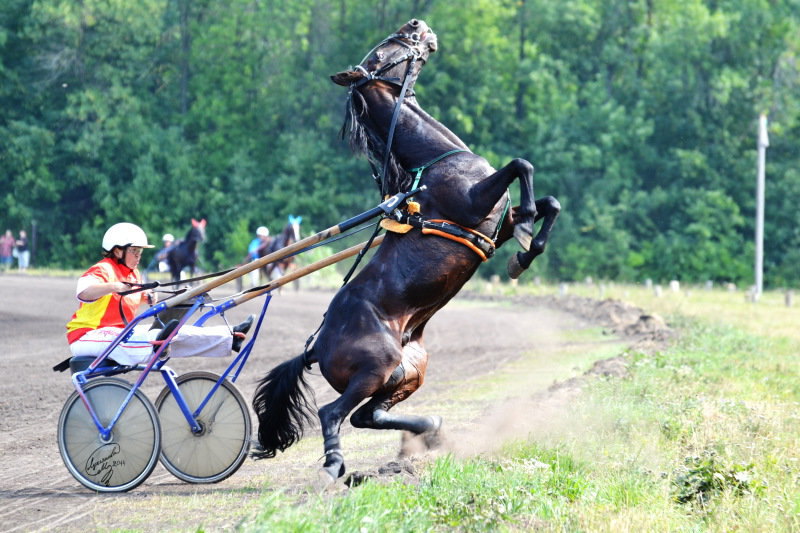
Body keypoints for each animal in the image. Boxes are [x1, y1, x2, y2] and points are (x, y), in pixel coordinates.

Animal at [253, 19, 560, 482]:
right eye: (383, 49)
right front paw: (527, 233)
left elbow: (549, 203)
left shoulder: (493, 224)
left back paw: (430, 430)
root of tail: (315, 347)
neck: (436, 160)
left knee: (367, 416)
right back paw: (336, 465)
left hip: (408, 370)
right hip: (375, 366)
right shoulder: (473, 203)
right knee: (333, 413)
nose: (418, 25)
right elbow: (522, 166)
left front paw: (523, 254)